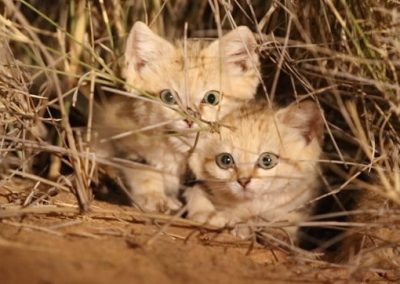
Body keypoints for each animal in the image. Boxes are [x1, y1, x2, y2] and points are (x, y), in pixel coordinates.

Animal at [95, 22, 260, 212]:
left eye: (212, 98)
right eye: (168, 97)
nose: (189, 119)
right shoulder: (121, 138)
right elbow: (142, 170)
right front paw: (153, 196)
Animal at [185, 100, 324, 240]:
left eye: (267, 160)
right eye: (225, 160)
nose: (243, 181)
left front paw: (276, 233)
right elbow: (196, 195)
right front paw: (218, 218)